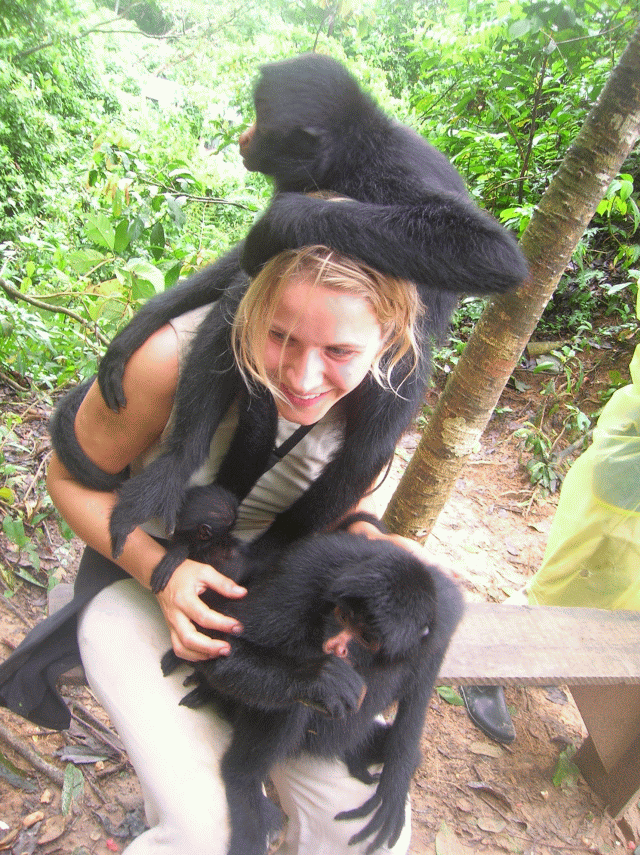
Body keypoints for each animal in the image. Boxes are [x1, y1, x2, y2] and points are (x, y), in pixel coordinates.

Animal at [52, 55, 528, 560]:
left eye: (261, 120)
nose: (244, 135)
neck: (351, 161)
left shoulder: (395, 171)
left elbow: (492, 253)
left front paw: (283, 221)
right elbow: (245, 267)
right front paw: (141, 326)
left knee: (369, 444)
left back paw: (275, 547)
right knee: (241, 298)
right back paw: (180, 463)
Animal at [158, 484, 462, 855]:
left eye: (368, 637)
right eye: (343, 616)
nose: (338, 647)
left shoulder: (444, 613)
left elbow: (422, 685)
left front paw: (396, 779)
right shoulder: (311, 567)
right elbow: (217, 644)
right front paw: (319, 679)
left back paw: (367, 755)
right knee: (293, 703)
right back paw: (241, 779)